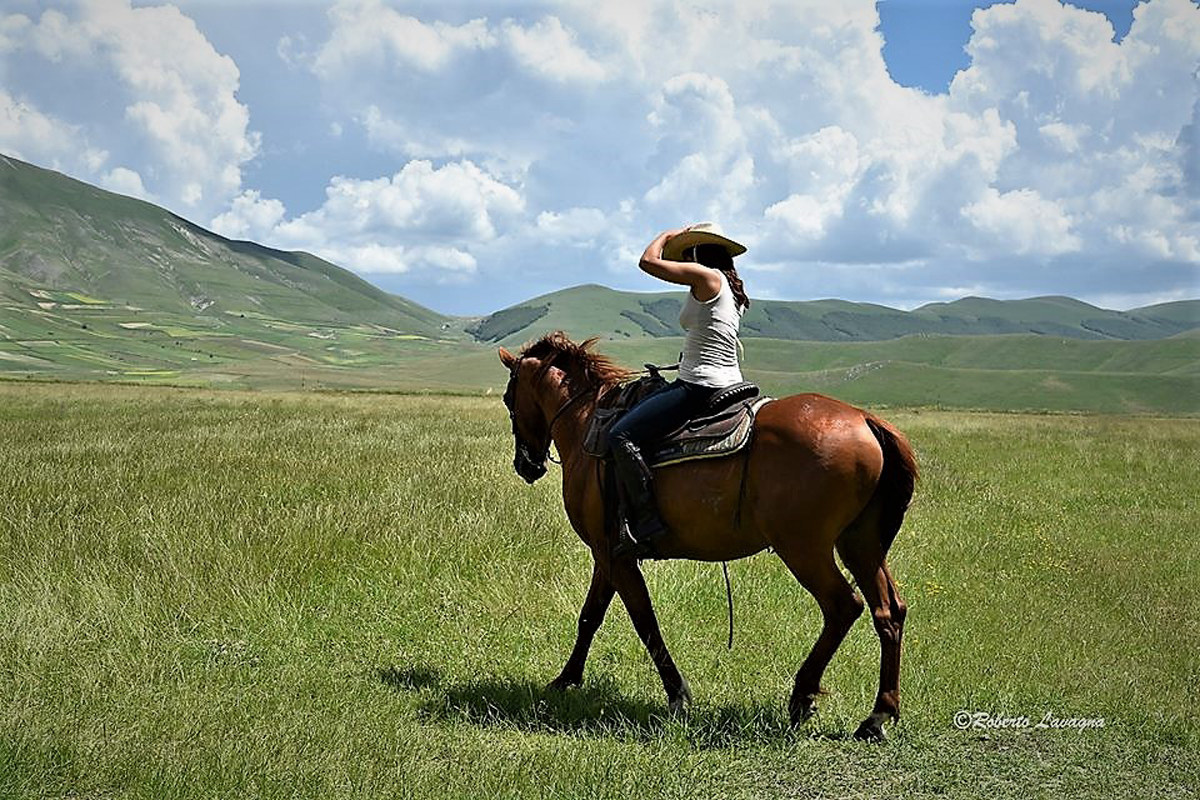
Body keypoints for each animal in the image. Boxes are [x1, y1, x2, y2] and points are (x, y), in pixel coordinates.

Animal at [498, 332, 918, 741]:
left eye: (508, 398)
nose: (526, 465)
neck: (587, 423)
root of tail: (866, 420)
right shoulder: (610, 552)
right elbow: (591, 616)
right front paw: (566, 679)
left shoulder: (613, 555)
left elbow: (644, 620)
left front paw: (677, 695)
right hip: (860, 545)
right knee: (888, 610)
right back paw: (877, 716)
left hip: (804, 549)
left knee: (843, 606)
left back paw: (803, 696)